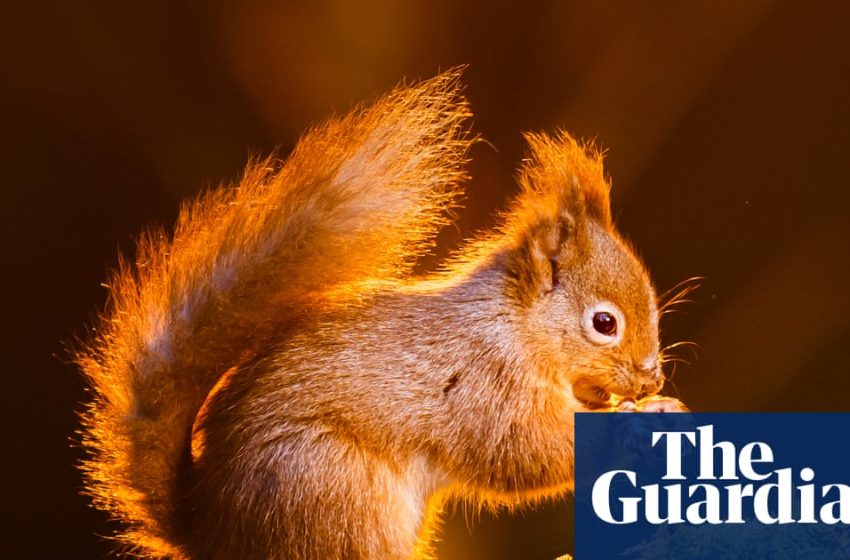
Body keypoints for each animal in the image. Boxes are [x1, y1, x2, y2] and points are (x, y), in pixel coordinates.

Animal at [76, 68, 687, 560]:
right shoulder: (484, 387)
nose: (652, 377)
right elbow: (527, 453)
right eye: (604, 323)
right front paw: (635, 420)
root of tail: (213, 533)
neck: (515, 328)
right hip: (338, 493)